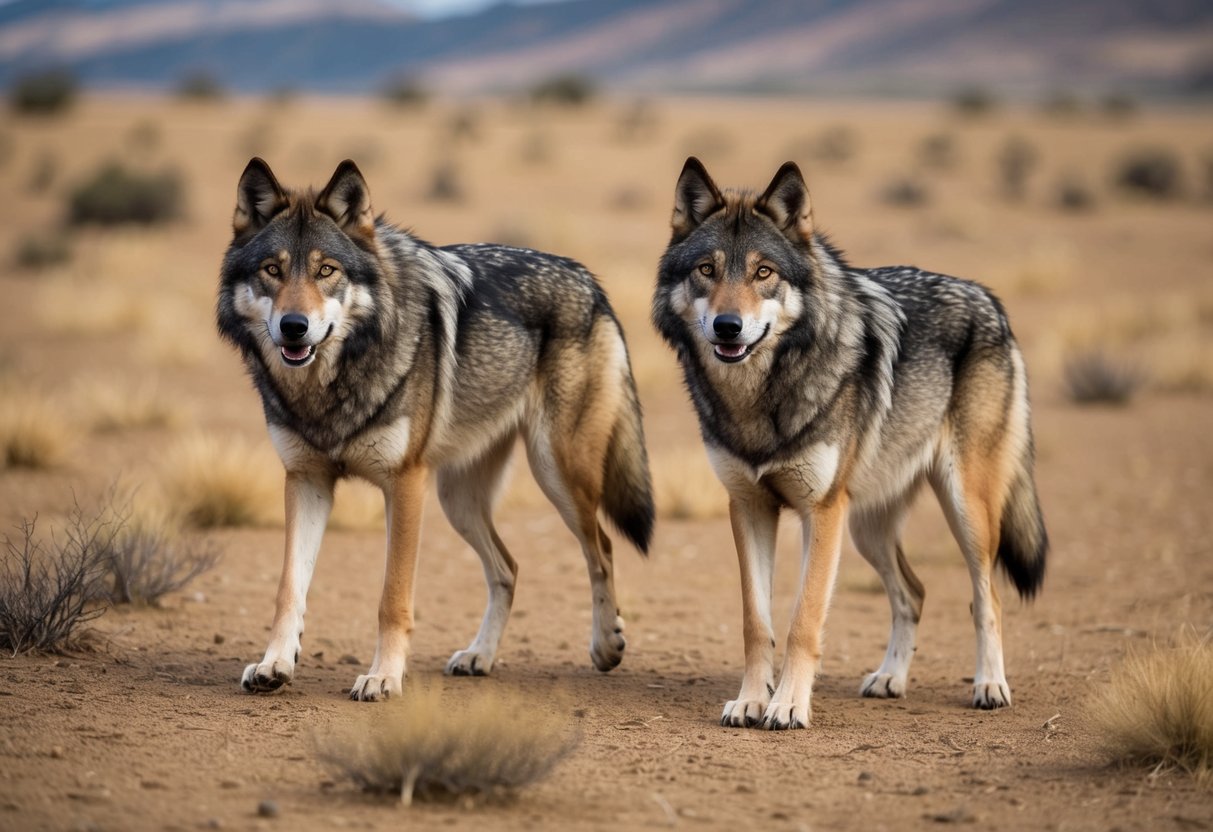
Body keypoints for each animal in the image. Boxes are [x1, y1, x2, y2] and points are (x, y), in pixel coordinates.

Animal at [217, 158, 653, 700]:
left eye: (326, 270)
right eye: (272, 270)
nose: (293, 326)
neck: (331, 385)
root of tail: (590, 281)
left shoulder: (405, 484)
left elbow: (392, 598)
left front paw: (383, 676)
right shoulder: (306, 480)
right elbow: (288, 590)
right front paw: (274, 664)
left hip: (558, 475)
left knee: (603, 549)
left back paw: (606, 645)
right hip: (458, 499)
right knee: (509, 567)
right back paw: (479, 656)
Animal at [652, 157, 1047, 729]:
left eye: (763, 273)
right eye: (707, 269)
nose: (728, 327)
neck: (762, 396)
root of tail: (988, 297)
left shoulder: (821, 510)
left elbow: (803, 619)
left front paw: (787, 705)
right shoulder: (748, 507)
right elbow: (756, 622)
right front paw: (751, 699)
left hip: (964, 510)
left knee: (986, 596)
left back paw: (990, 685)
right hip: (867, 527)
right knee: (914, 592)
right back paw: (890, 678)